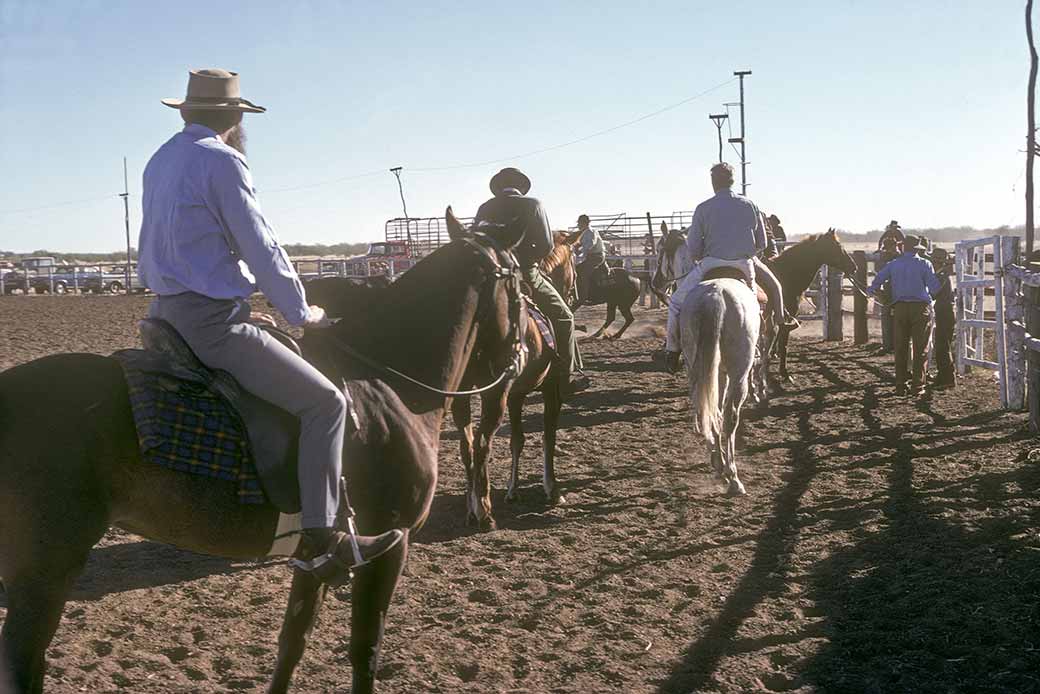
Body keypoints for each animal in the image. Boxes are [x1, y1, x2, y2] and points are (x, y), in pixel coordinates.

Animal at [0, 210, 528, 694]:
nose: (518, 360)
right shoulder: (389, 543)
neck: (388, 385)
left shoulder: (316, 554)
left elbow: (292, 643)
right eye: (520, 283)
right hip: (44, 571)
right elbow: (365, 648)